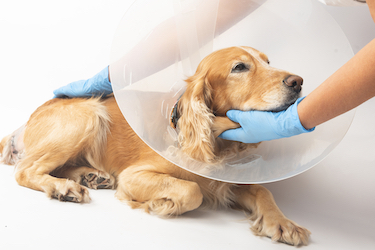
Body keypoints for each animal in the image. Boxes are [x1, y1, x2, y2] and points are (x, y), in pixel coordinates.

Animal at [0, 46, 312, 245]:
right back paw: (64, 187)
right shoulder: (134, 176)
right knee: (26, 171)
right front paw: (163, 203)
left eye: (268, 61)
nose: (298, 81)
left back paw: (89, 176)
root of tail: (26, 120)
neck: (215, 145)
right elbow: (192, 190)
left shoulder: (229, 180)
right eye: (239, 67)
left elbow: (262, 190)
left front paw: (283, 223)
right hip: (88, 114)